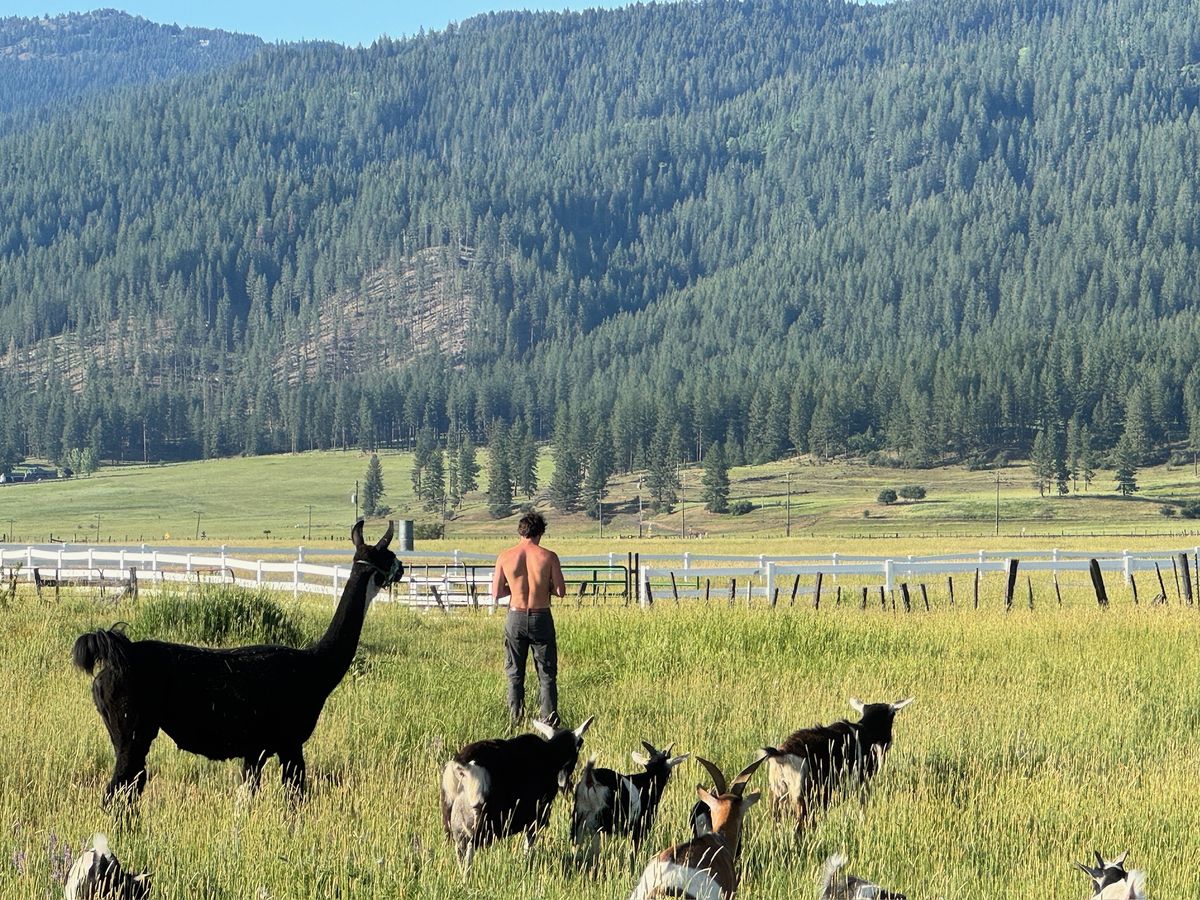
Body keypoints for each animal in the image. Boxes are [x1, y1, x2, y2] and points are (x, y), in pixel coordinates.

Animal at [73, 521, 401, 803]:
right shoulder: (290, 742)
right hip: (132, 728)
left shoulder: (254, 749)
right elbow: (295, 798)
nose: (401, 569)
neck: (315, 668)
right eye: (390, 555)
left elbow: (246, 798)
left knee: (131, 786)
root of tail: (117, 656)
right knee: (119, 789)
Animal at [441, 716, 593, 868]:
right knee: (468, 856)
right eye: (580, 744)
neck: (550, 755)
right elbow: (528, 846)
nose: (567, 784)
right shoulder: (536, 817)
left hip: (453, 825)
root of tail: (461, 768)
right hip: (478, 825)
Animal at [762, 697, 912, 829]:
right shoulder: (860, 783)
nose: (889, 741)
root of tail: (781, 754)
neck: (865, 731)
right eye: (892, 717)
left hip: (778, 794)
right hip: (804, 798)